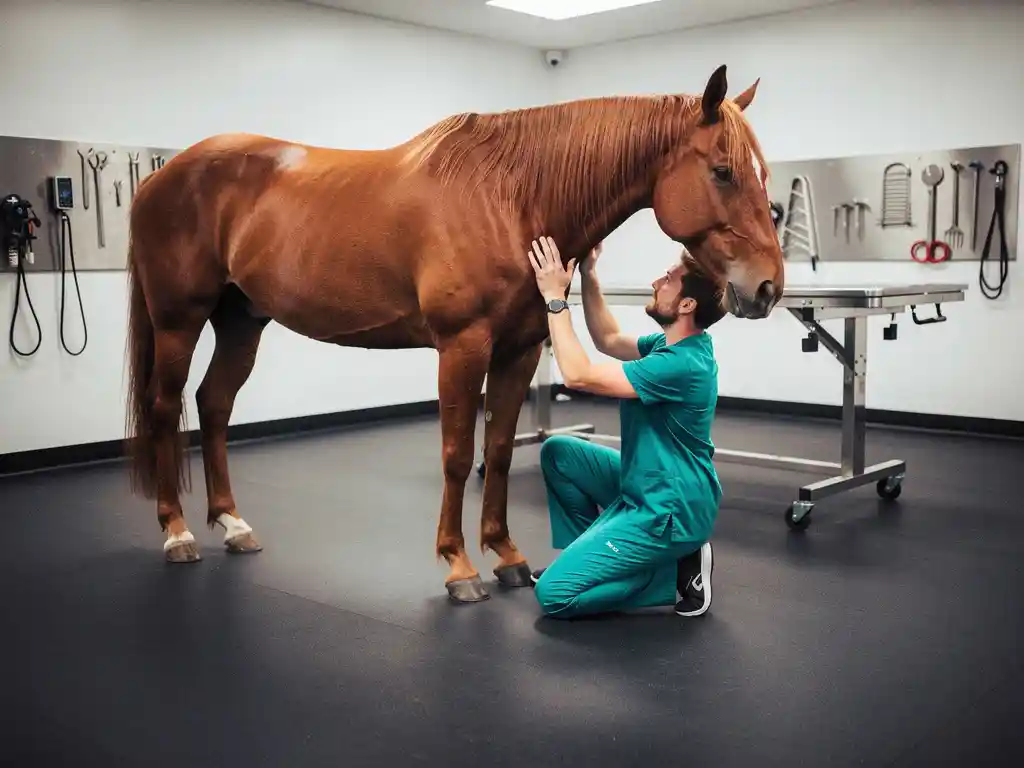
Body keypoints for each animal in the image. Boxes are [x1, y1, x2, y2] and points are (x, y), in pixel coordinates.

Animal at [123, 64, 784, 603]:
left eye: (764, 175)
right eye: (723, 171)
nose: (768, 288)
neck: (511, 196)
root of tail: (159, 177)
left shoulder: (520, 350)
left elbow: (498, 448)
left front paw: (508, 556)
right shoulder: (462, 347)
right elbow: (457, 453)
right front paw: (459, 565)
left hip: (242, 321)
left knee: (214, 404)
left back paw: (233, 525)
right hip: (179, 321)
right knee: (166, 407)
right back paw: (177, 532)